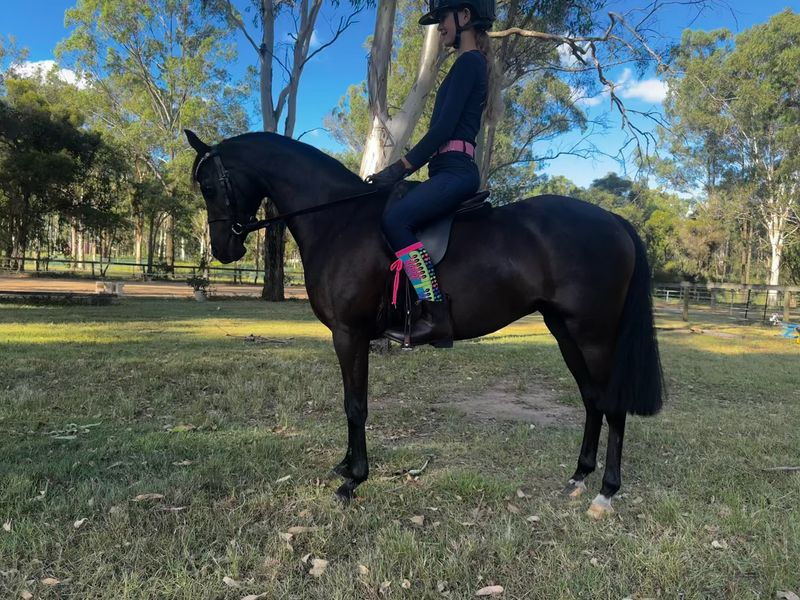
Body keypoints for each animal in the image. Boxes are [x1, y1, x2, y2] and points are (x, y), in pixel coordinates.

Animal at [185, 129, 664, 518]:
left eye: (209, 186)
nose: (224, 248)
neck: (339, 219)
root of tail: (614, 220)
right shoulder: (351, 336)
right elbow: (351, 402)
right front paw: (345, 466)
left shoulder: (349, 334)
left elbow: (355, 405)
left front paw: (353, 480)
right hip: (564, 331)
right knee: (592, 399)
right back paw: (579, 477)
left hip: (594, 335)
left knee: (612, 404)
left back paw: (606, 492)